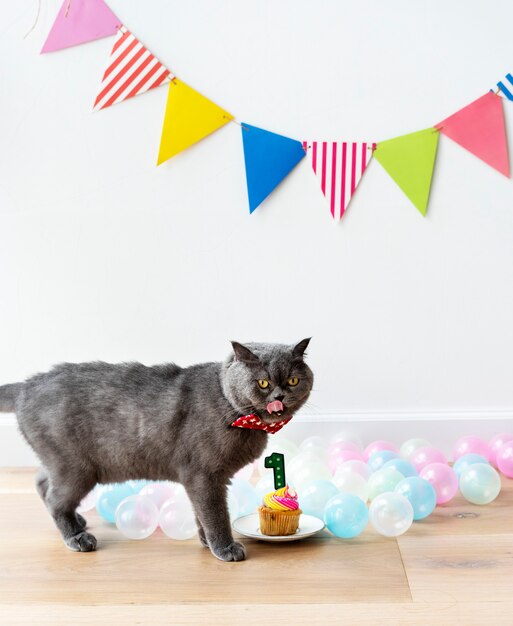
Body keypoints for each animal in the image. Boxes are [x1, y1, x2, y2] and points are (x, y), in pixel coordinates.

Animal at [0, 342, 312, 560]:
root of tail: (26, 385)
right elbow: (215, 514)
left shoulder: (201, 481)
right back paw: (77, 537)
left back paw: (77, 521)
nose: (280, 395)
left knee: (42, 482)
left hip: (61, 463)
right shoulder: (204, 476)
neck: (231, 408)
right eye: (263, 382)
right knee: (55, 499)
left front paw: (206, 541)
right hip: (75, 468)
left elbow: (201, 512)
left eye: (293, 381)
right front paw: (224, 547)